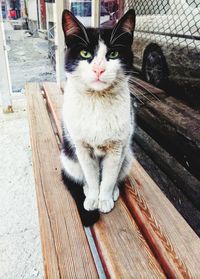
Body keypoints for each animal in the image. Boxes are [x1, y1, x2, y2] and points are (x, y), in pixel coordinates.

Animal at [60, 9, 136, 228]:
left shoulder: (117, 148)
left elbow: (109, 178)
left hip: (128, 156)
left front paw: (105, 198)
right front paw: (94, 197)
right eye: (85, 54)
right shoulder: (82, 148)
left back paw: (115, 191)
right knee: (81, 176)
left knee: (118, 175)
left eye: (113, 54)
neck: (97, 102)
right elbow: (92, 177)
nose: (99, 69)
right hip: (69, 157)